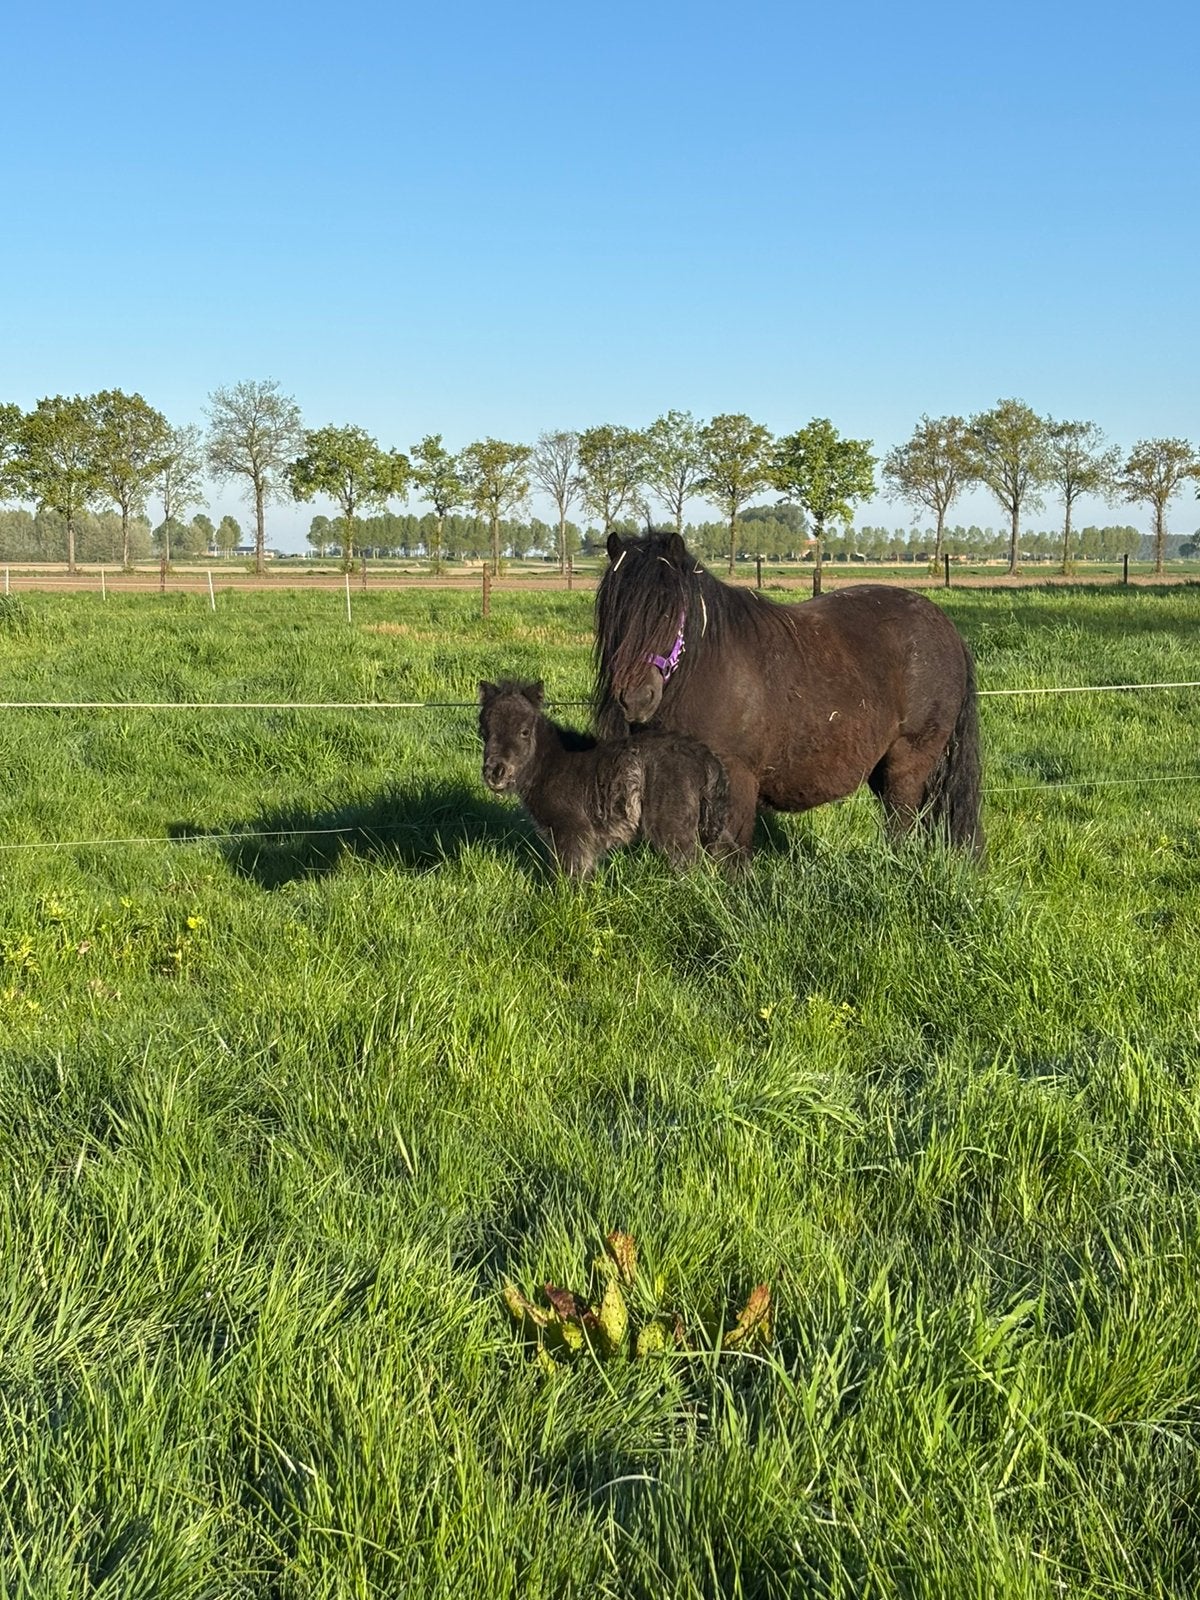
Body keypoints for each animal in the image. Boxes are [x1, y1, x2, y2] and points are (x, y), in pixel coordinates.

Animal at [478, 678, 731, 877]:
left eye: (524, 731)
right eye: (484, 732)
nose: (496, 772)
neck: (548, 764)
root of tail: (703, 754)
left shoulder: (573, 831)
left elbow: (571, 875)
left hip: (673, 829)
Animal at [593, 531, 983, 859]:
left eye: (668, 612)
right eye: (612, 610)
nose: (635, 698)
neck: (708, 668)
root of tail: (947, 628)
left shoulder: (738, 778)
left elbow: (731, 853)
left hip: (909, 758)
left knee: (902, 820)